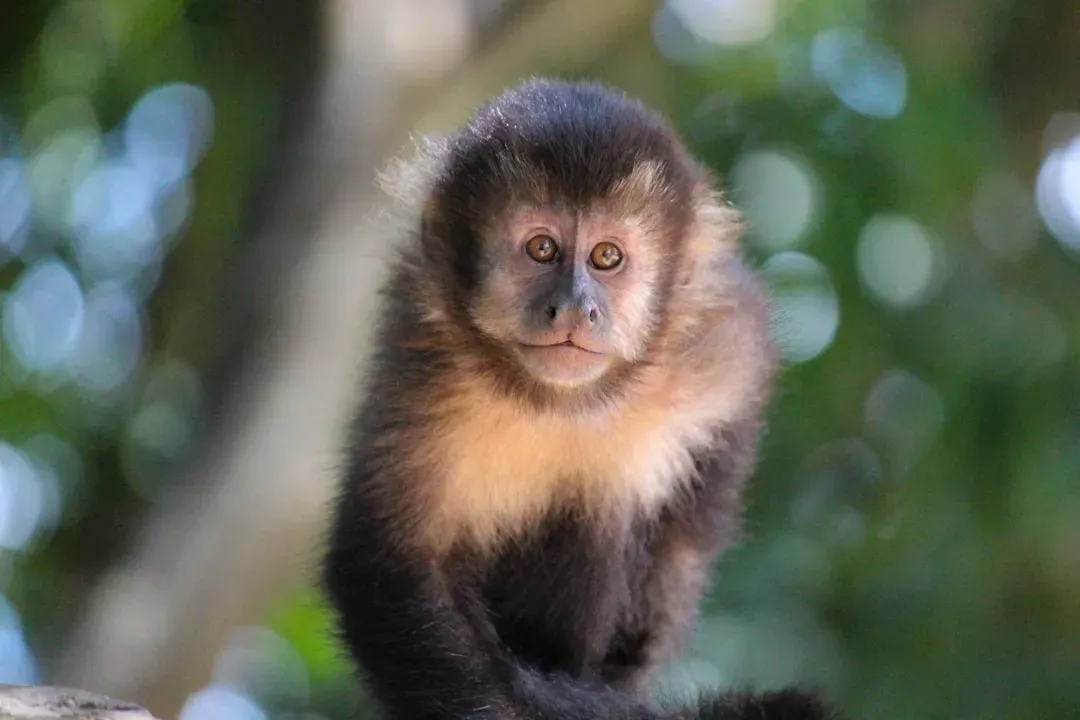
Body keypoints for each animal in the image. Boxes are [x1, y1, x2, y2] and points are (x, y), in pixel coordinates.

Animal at [323, 78, 839, 720]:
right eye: (542, 249)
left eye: (606, 257)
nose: (574, 307)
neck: (566, 401)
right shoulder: (423, 373)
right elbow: (387, 568)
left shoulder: (722, 344)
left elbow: (690, 524)